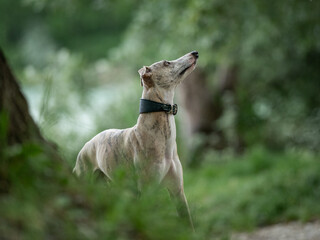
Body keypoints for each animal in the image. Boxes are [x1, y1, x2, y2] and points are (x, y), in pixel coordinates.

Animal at [74, 51, 199, 229]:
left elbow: (188, 223)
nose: (195, 53)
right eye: (166, 63)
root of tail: (85, 146)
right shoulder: (147, 192)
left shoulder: (178, 191)